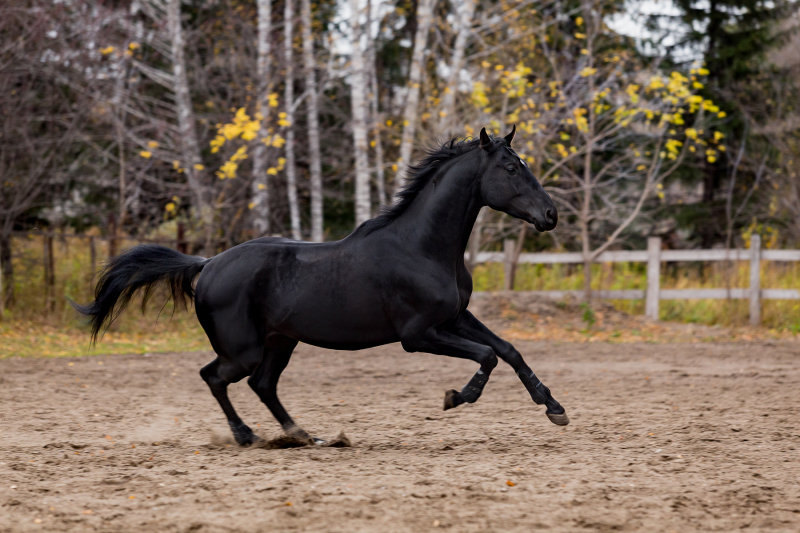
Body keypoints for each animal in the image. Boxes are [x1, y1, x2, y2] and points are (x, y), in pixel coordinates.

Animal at [75, 128, 564, 444]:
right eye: (510, 168)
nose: (550, 215)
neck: (422, 247)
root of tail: (208, 263)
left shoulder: (456, 317)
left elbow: (507, 350)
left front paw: (554, 407)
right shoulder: (418, 335)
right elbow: (486, 356)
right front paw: (456, 398)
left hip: (280, 341)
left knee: (262, 385)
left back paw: (302, 434)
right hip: (243, 349)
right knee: (215, 377)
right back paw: (246, 435)